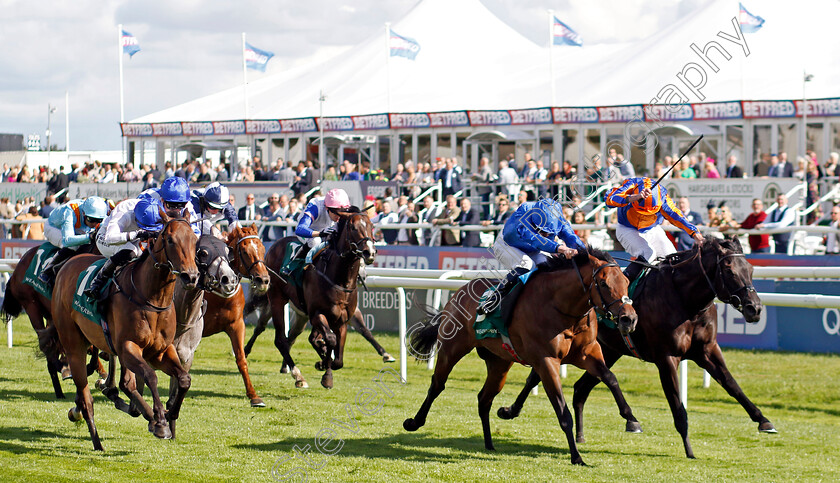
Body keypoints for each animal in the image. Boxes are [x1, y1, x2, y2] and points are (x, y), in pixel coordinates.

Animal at [43, 214, 199, 452]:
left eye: (194, 240)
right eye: (170, 240)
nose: (190, 277)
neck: (151, 297)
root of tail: (66, 265)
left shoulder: (160, 351)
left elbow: (184, 379)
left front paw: (170, 410)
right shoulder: (127, 347)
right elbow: (151, 376)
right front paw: (161, 422)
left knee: (124, 384)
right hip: (73, 345)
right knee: (86, 399)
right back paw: (96, 439)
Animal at [171, 225, 272, 406]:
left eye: (262, 248)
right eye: (244, 251)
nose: (264, 280)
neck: (219, 298)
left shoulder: (237, 325)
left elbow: (241, 359)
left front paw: (253, 395)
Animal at [262, 208, 374, 390]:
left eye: (371, 226)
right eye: (353, 227)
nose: (369, 252)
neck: (340, 279)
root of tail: (273, 246)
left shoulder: (341, 320)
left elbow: (339, 358)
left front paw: (323, 363)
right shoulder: (317, 314)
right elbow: (331, 340)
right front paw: (327, 375)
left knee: (304, 338)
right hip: (277, 299)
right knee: (281, 340)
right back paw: (298, 376)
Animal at [406, 250, 636, 466]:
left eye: (626, 282)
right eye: (604, 283)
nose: (629, 319)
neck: (563, 309)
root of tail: (460, 292)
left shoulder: (588, 352)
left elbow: (610, 377)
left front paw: (631, 419)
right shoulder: (546, 361)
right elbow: (563, 412)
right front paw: (577, 457)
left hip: (499, 363)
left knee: (484, 398)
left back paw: (489, 444)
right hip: (452, 348)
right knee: (438, 385)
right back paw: (414, 422)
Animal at [496, 236, 776, 460]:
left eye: (751, 269)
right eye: (729, 270)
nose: (754, 308)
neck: (684, 300)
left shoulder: (707, 350)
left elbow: (732, 385)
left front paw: (764, 420)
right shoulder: (667, 357)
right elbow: (678, 406)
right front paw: (689, 449)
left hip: (608, 350)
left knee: (580, 387)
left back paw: (580, 435)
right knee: (536, 377)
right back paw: (510, 410)